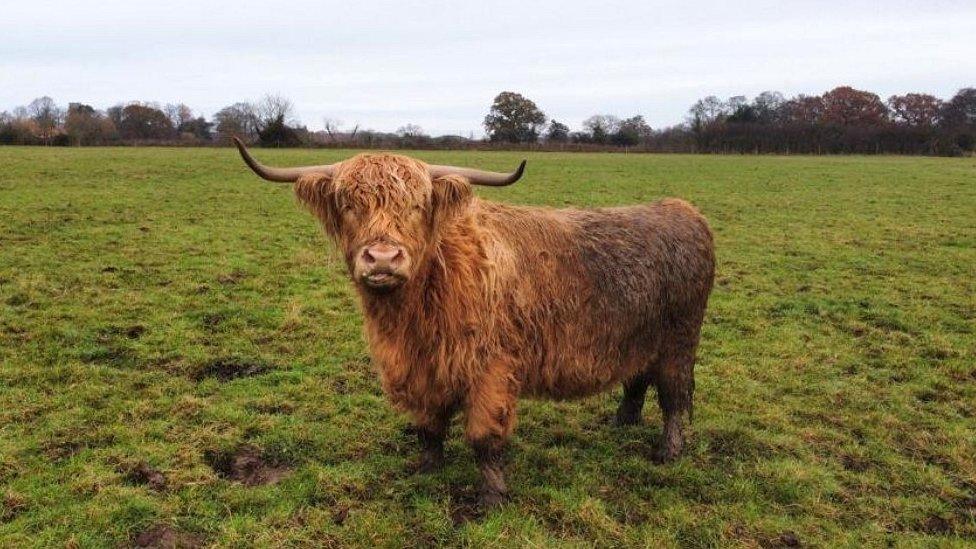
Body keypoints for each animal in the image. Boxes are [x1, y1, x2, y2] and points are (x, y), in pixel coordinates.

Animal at [233, 139, 712, 508]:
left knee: (673, 396)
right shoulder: (421, 368)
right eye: (349, 204)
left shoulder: (492, 369)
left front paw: (493, 497)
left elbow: (484, 437)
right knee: (637, 379)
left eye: (418, 205)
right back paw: (622, 422)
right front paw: (427, 471)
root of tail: (683, 210)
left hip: (679, 339)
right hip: (637, 337)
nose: (383, 258)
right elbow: (428, 428)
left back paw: (668, 451)